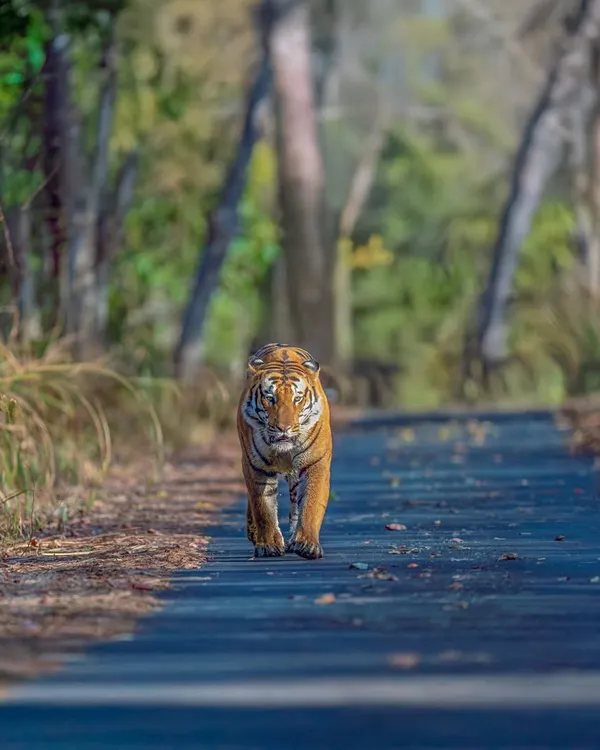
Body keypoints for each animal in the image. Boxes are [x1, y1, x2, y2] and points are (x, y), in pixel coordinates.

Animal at [237, 343, 333, 560]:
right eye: (270, 398)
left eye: (297, 398)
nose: (284, 428)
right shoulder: (255, 465)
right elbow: (263, 507)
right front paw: (269, 545)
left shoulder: (315, 463)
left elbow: (311, 504)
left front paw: (307, 544)